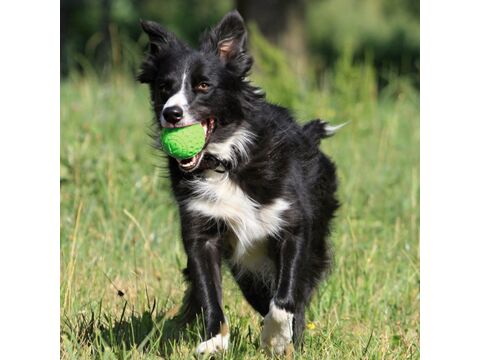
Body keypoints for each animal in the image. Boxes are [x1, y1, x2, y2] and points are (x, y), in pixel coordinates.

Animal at [138, 9, 342, 356]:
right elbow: (209, 292)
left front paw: (275, 338)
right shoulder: (202, 230)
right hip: (249, 271)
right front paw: (214, 341)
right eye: (164, 87)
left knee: (296, 296)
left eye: (204, 85)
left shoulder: (291, 227)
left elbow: (285, 299)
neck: (226, 161)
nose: (172, 113)